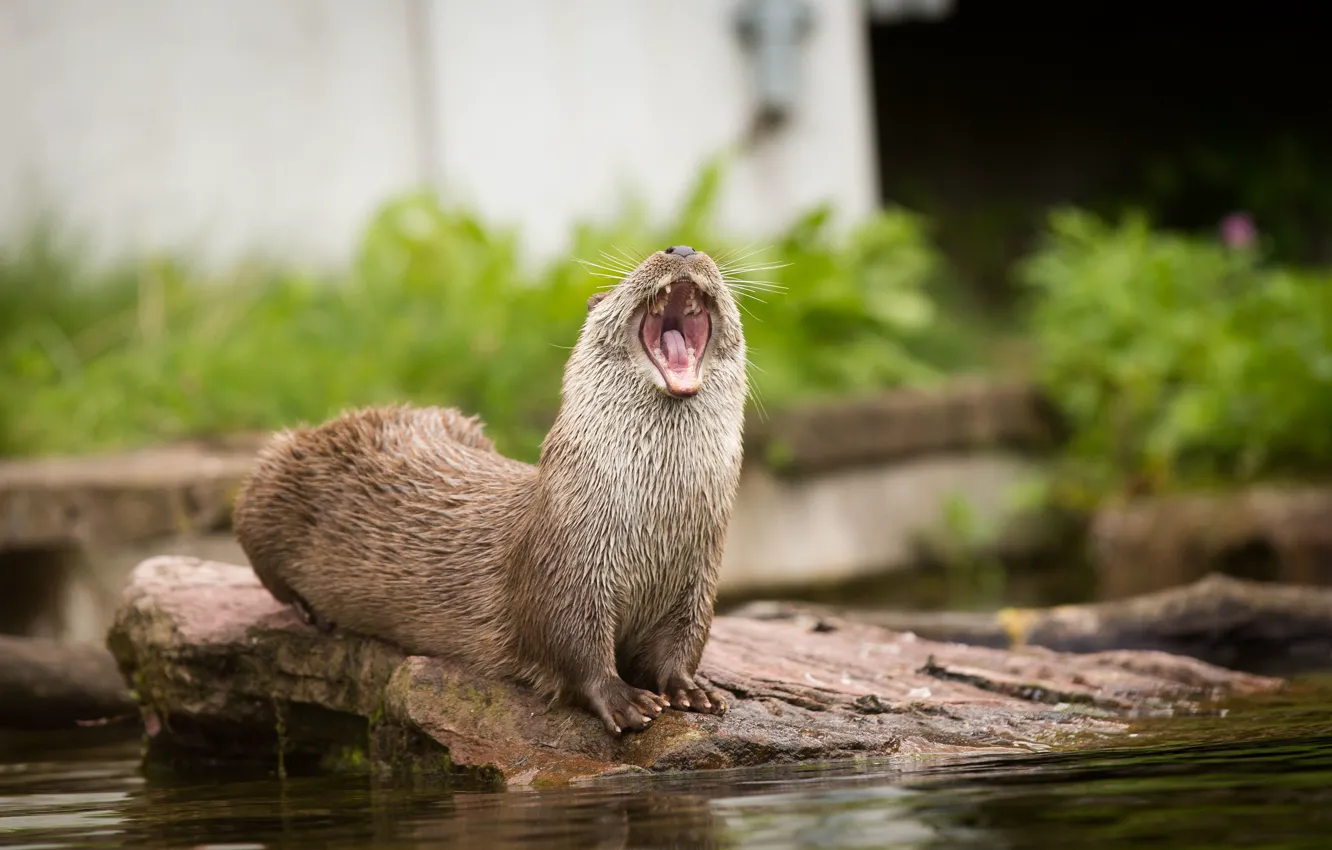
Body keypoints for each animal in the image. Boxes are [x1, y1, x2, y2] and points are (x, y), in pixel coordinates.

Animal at [233, 245, 747, 735]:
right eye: (620, 285)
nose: (681, 249)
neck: (655, 528)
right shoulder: (565, 569)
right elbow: (572, 645)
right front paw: (622, 698)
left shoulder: (697, 580)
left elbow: (683, 643)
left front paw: (691, 690)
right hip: (265, 487)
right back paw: (311, 613)